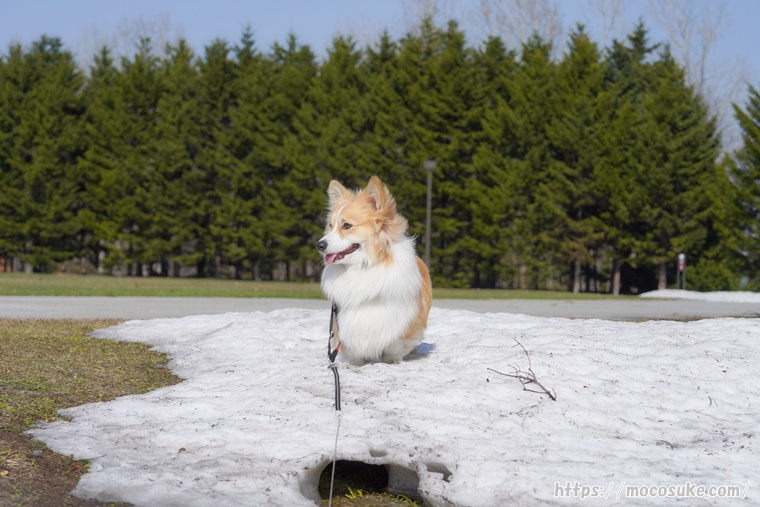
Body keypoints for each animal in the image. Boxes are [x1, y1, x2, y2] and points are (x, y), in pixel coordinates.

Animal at [316, 176, 434, 366]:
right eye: (330, 226)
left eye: (346, 225)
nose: (319, 245)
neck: (362, 266)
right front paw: (355, 363)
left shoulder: (402, 318)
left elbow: (394, 345)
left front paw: (391, 361)